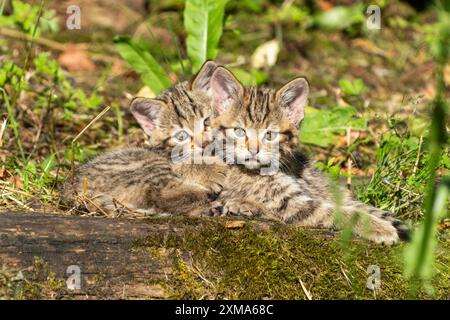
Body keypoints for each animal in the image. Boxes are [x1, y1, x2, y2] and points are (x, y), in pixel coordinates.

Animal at [61, 61, 227, 216]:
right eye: (181, 136)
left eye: (206, 121)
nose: (204, 143)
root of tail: (70, 187)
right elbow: (186, 162)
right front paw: (210, 169)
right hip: (148, 165)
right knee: (161, 194)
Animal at [207, 66, 408, 244]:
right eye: (239, 132)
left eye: (270, 135)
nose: (253, 150)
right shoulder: (292, 206)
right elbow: (339, 212)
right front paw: (380, 228)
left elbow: (358, 206)